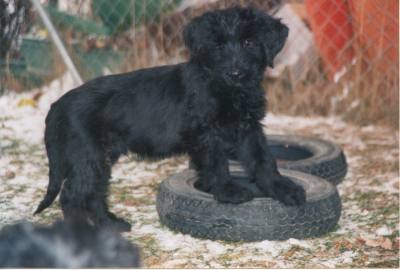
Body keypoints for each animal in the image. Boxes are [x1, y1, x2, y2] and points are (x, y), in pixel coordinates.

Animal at [35, 6, 306, 231]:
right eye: (217, 46)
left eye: (249, 42)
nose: (235, 73)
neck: (227, 90)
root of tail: (58, 105)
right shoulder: (207, 134)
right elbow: (217, 163)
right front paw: (227, 191)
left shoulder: (249, 129)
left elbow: (263, 160)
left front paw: (282, 188)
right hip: (87, 157)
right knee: (72, 195)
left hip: (100, 159)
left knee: (93, 193)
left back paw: (111, 225)